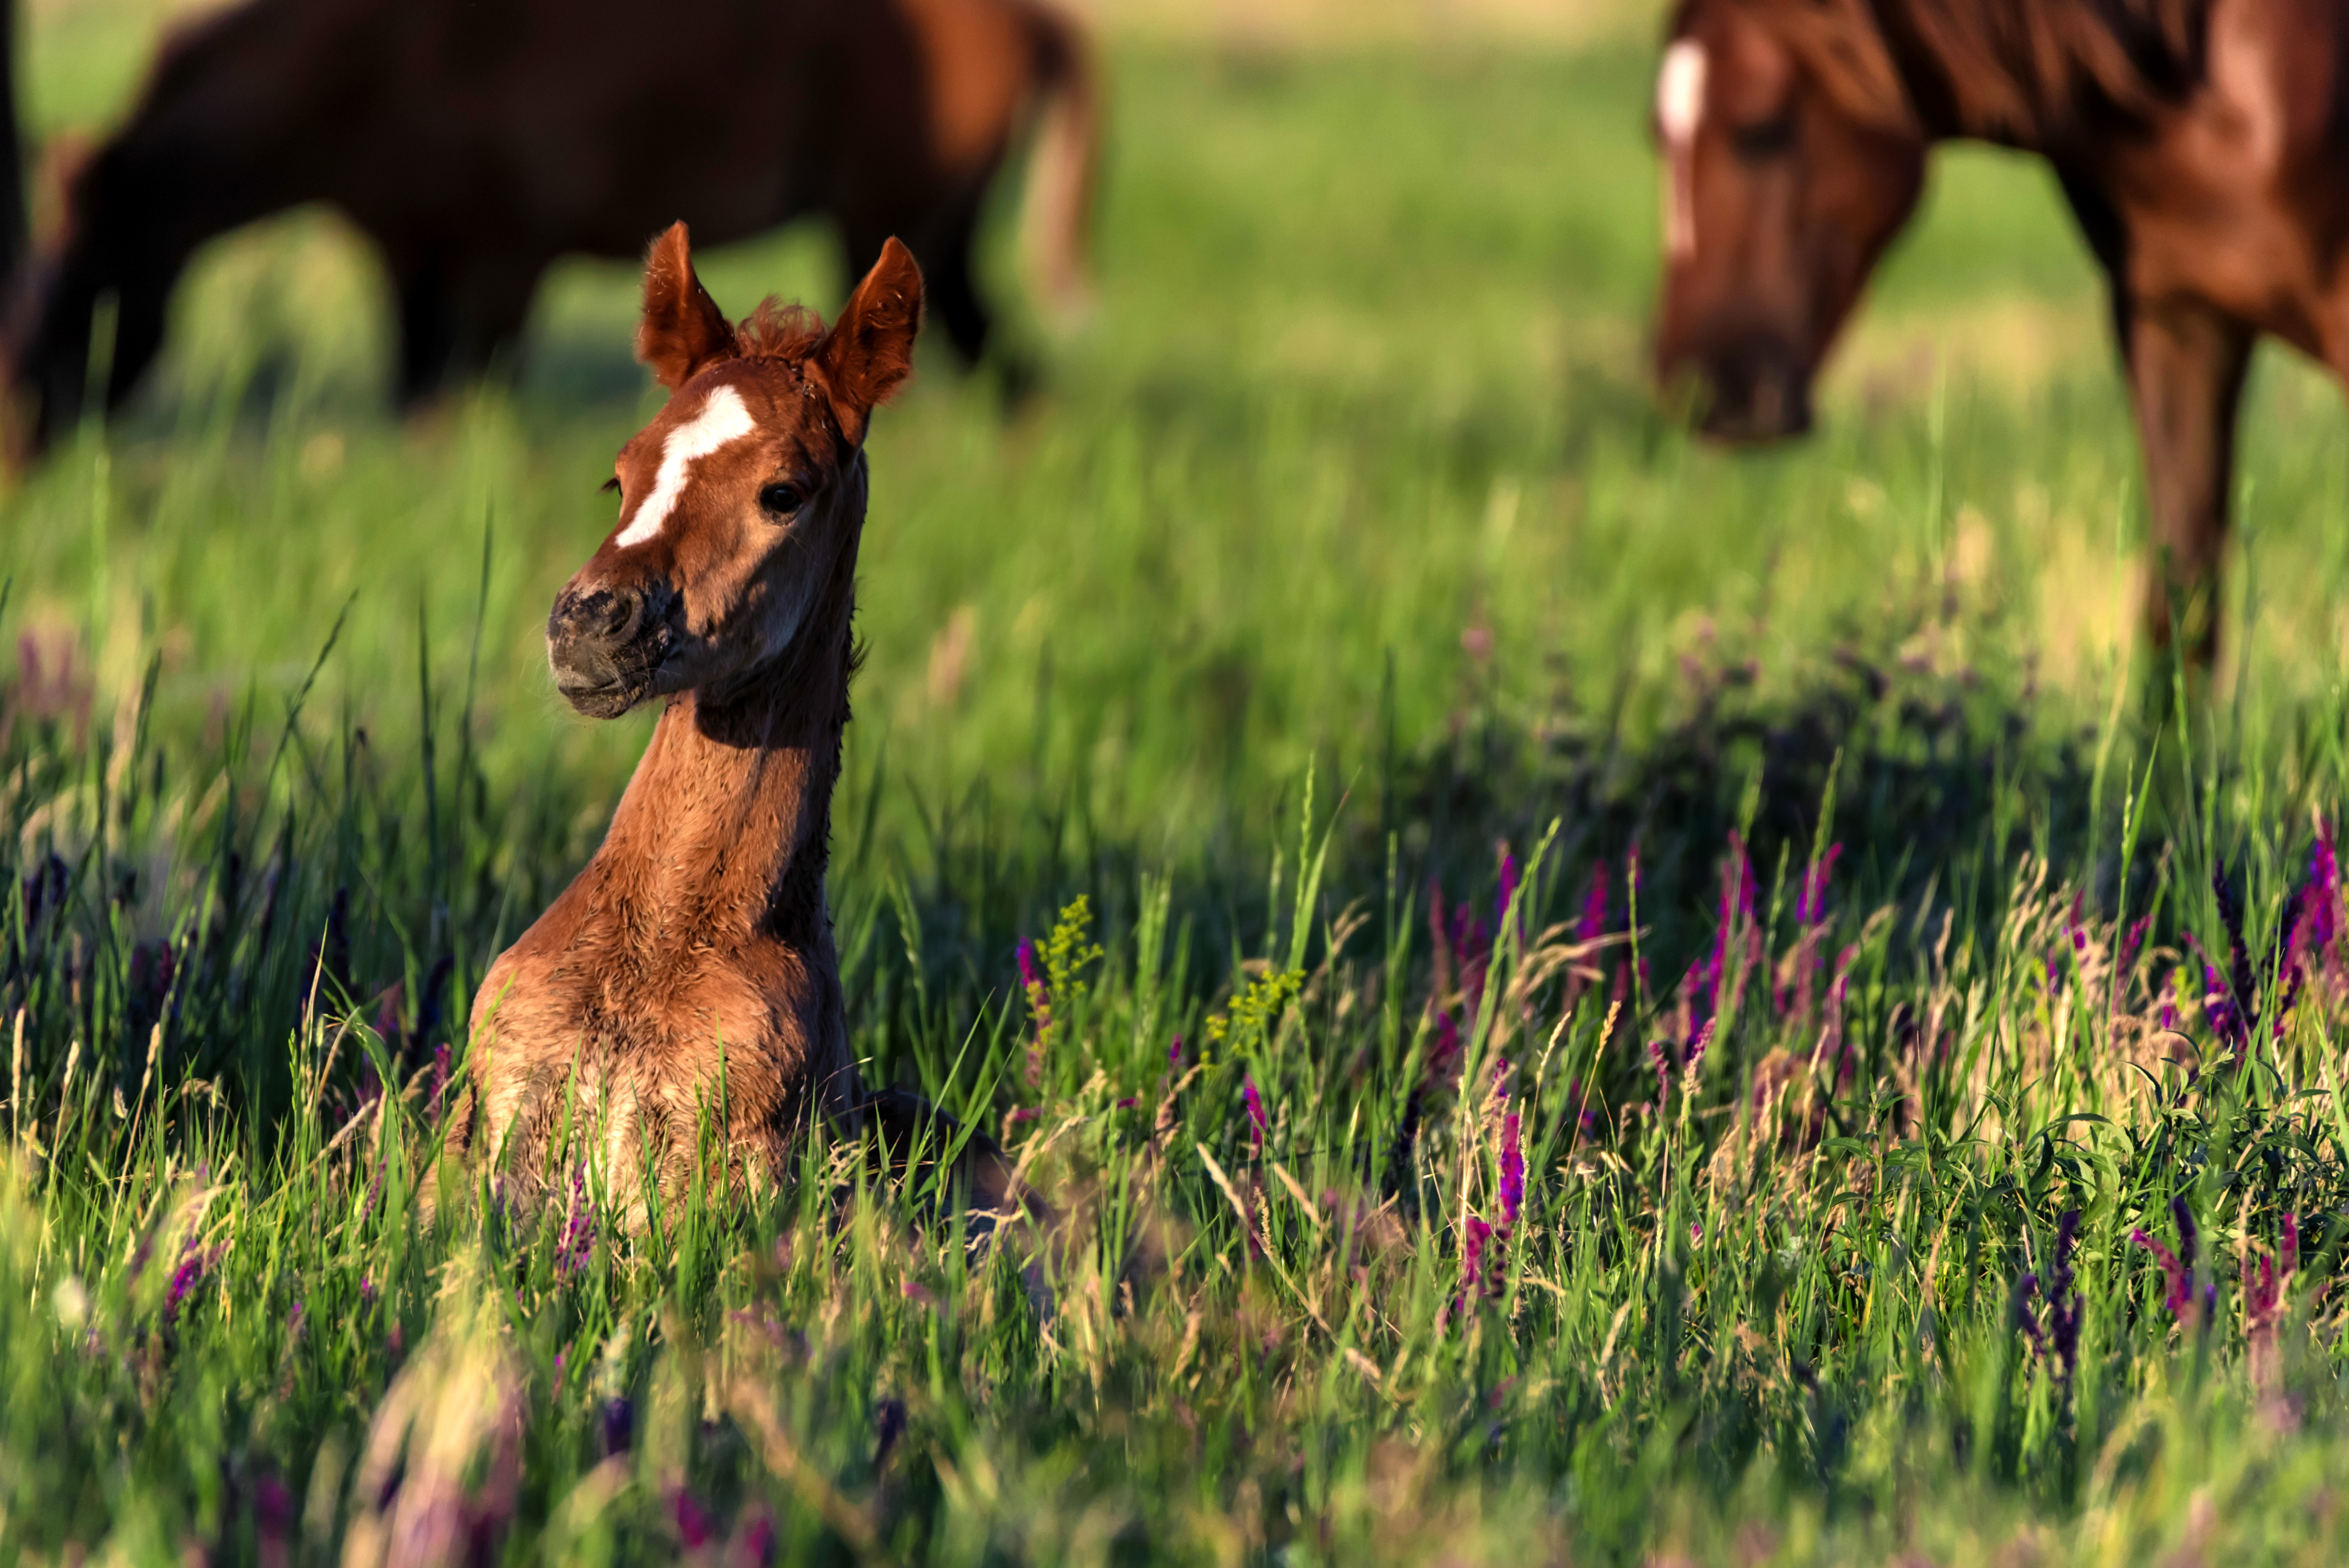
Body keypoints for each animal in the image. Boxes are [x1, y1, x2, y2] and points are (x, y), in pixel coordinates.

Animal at [6, 0, 1097, 460]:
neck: (372, 55)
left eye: (82, 296)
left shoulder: (503, 261)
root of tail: (1030, 18)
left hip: (900, 227)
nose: (21, 449)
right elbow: (419, 398)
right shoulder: (411, 256)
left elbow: (468, 403)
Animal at [452, 223, 993, 1213]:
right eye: (620, 475)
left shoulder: (723, 1179)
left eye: (783, 491)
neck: (655, 948)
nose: (587, 622)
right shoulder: (484, 1131)